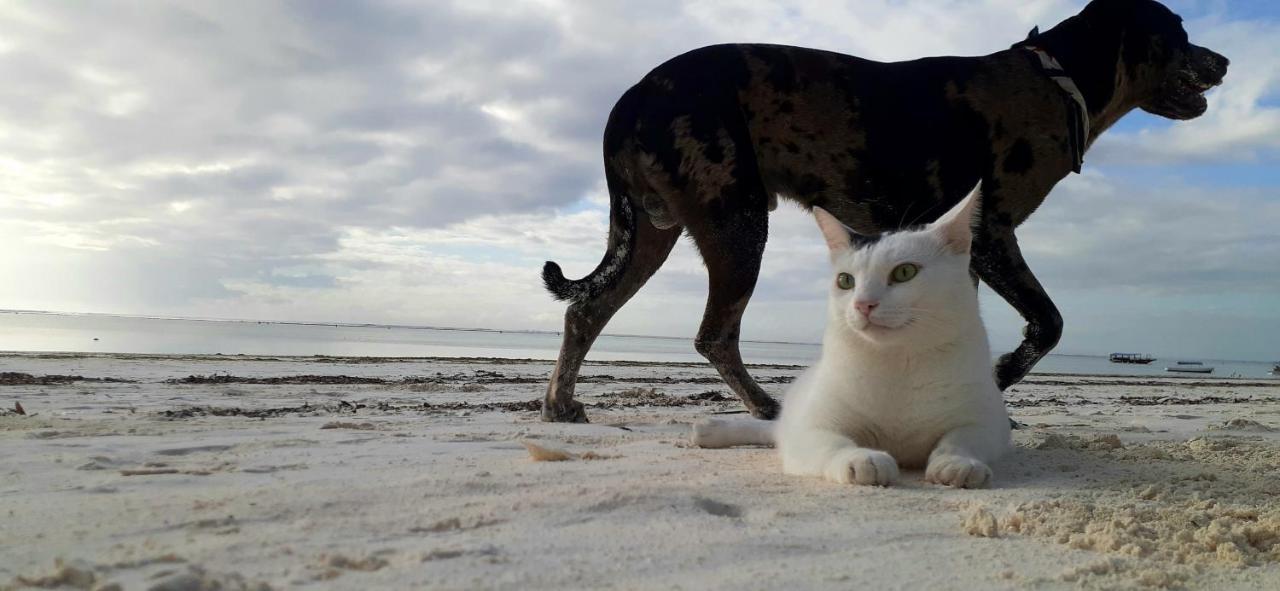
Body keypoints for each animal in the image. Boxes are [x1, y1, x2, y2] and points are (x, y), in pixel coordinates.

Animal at [535, 1, 1223, 424]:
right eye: (1179, 28)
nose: (1224, 62)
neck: (1059, 81)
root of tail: (628, 99)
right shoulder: (993, 234)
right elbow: (1048, 325)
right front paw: (1000, 377)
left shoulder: (962, 257)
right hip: (736, 223)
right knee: (714, 334)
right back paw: (765, 407)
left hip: (653, 232)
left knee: (587, 312)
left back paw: (561, 404)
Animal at [691, 185, 1008, 488]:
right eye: (845, 281)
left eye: (905, 272)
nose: (863, 304)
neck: (897, 363)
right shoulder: (812, 426)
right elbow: (833, 442)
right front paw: (861, 459)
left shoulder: (988, 422)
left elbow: (960, 439)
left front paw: (958, 464)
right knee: (774, 430)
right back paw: (710, 430)